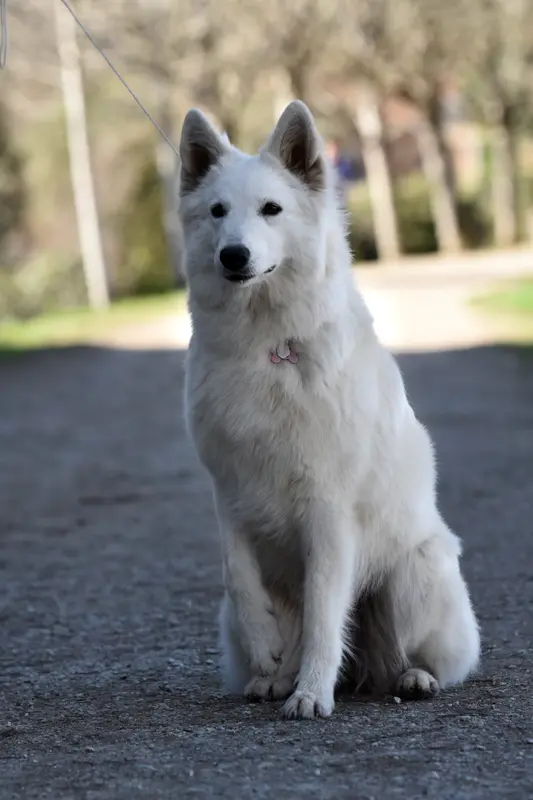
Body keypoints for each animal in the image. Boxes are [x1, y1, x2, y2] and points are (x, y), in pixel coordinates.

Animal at [178, 100, 480, 719]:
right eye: (218, 212)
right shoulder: (230, 498)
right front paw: (272, 655)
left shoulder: (328, 512)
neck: (268, 347)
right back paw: (275, 674)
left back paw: (411, 676)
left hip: (416, 572)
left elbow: (322, 614)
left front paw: (312, 693)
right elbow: (240, 578)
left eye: (271, 210)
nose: (233, 255)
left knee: (415, 658)